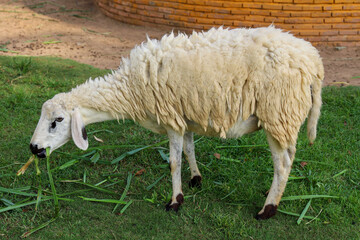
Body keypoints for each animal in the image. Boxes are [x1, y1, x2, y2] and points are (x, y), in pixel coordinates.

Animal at [30, 26, 324, 219]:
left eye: (57, 120)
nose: (34, 149)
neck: (130, 89)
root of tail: (314, 61)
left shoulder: (171, 119)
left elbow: (173, 162)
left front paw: (175, 201)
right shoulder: (186, 116)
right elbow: (190, 149)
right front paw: (195, 178)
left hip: (279, 113)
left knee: (283, 163)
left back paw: (268, 208)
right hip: (284, 116)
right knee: (286, 160)